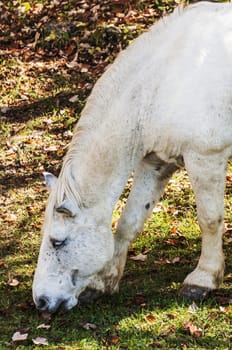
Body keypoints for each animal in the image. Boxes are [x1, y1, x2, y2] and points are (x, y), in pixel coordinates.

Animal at [32, 2, 232, 314]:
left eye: (57, 241)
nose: (41, 301)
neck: (164, 82)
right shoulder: (156, 164)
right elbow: (129, 222)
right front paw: (103, 283)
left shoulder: (205, 158)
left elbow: (209, 219)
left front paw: (203, 279)